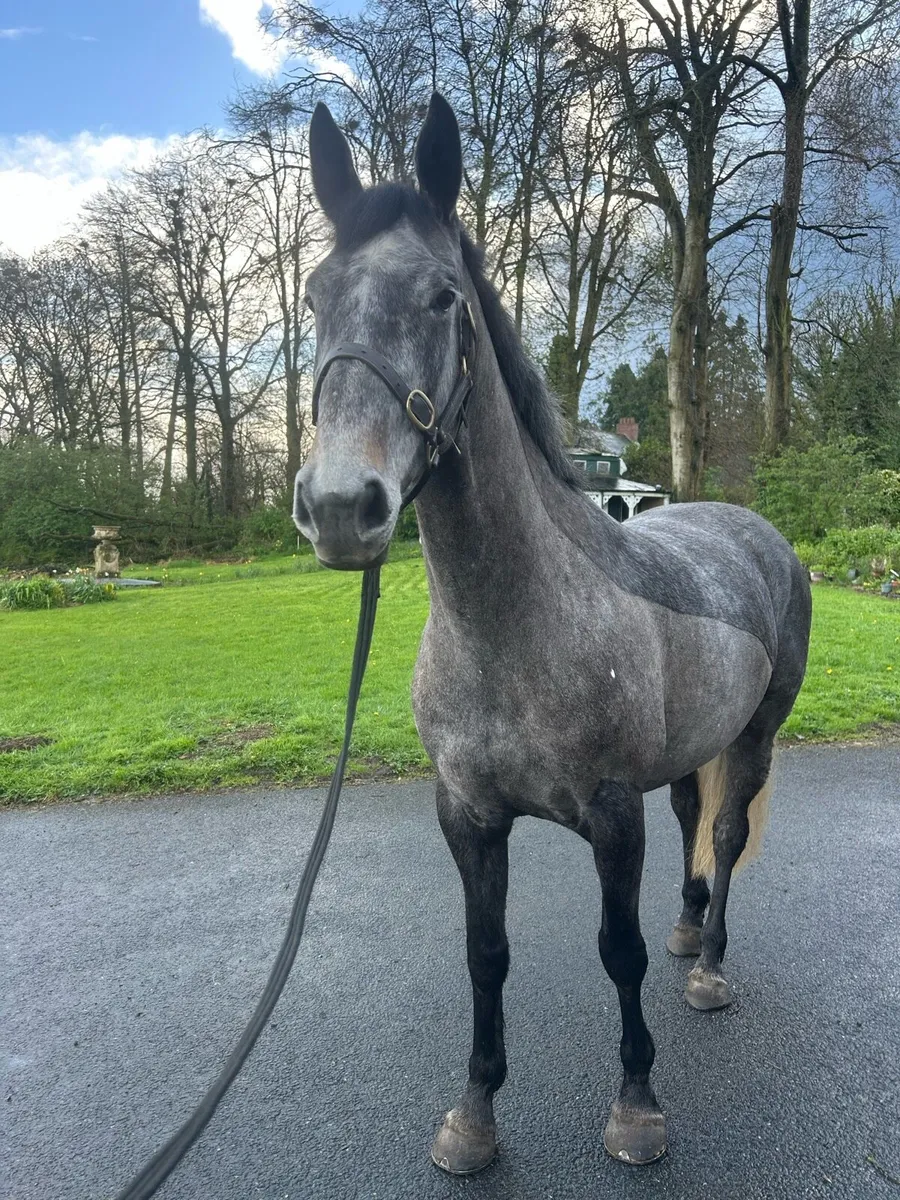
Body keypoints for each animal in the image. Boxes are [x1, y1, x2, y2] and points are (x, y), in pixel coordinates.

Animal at [293, 93, 811, 1175]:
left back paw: (709, 969)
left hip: (755, 735)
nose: (340, 508)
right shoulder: (468, 816)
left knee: (726, 833)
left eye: (442, 297)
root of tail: (757, 531)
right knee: (694, 821)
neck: (512, 631)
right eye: (316, 296)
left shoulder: (610, 817)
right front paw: (474, 1116)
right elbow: (485, 954)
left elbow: (618, 952)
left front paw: (637, 1108)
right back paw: (692, 934)